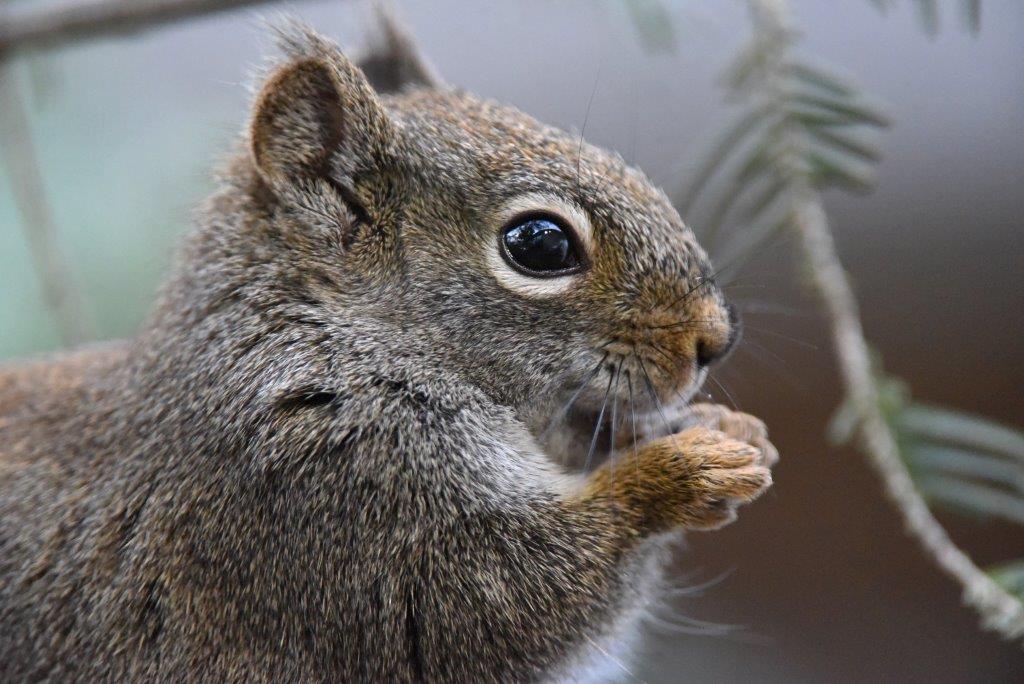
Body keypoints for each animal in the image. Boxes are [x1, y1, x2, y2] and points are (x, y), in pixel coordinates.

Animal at [0, 24, 777, 683]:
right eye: (540, 243)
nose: (715, 339)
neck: (329, 342)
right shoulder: (329, 497)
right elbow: (504, 602)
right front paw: (682, 471)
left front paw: (730, 429)